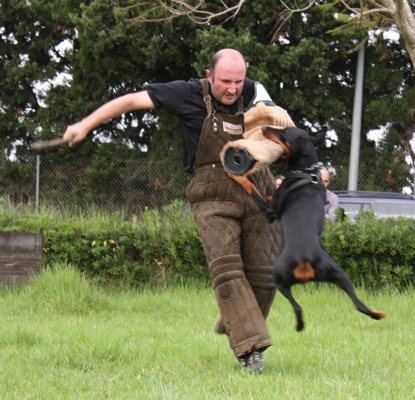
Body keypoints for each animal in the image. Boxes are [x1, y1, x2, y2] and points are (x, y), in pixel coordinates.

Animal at [236, 126, 386, 332]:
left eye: (283, 132)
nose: (265, 128)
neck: (306, 172)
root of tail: (305, 259)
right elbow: (265, 194)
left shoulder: (270, 212)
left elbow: (252, 189)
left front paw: (237, 176)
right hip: (340, 275)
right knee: (359, 304)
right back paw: (378, 314)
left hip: (277, 276)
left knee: (297, 307)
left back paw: (299, 326)